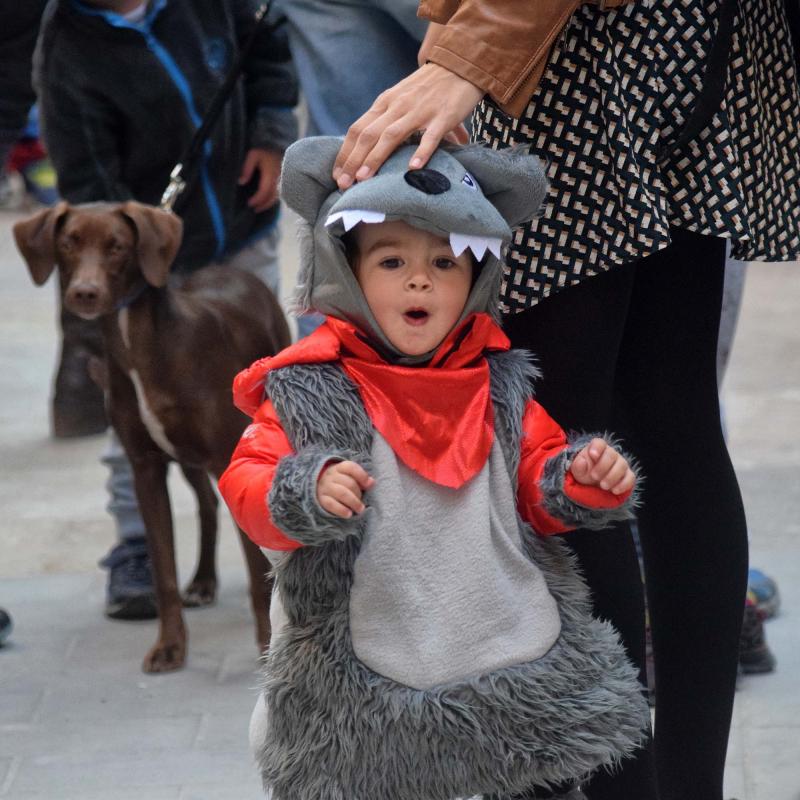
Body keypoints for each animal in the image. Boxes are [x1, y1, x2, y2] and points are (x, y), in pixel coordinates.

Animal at [14, 198, 290, 668]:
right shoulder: (145, 467)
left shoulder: (226, 457)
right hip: (188, 457)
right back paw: (202, 581)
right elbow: (163, 571)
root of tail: (230, 269)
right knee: (206, 506)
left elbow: (255, 570)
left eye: (117, 247)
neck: (137, 343)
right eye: (68, 243)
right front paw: (170, 647)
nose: (84, 293)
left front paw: (266, 644)